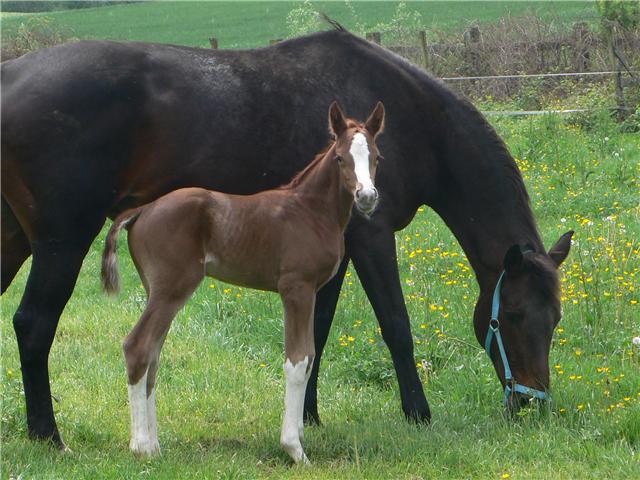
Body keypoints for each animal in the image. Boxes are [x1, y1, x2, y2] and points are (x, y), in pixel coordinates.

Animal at [101, 102, 384, 464]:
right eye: (339, 157)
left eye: (376, 156)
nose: (367, 196)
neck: (310, 211)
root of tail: (143, 209)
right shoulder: (296, 288)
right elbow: (297, 360)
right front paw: (294, 449)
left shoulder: (311, 293)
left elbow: (309, 357)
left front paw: (300, 435)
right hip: (172, 288)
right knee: (138, 346)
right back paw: (141, 447)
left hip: (158, 291)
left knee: (153, 353)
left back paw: (153, 444)